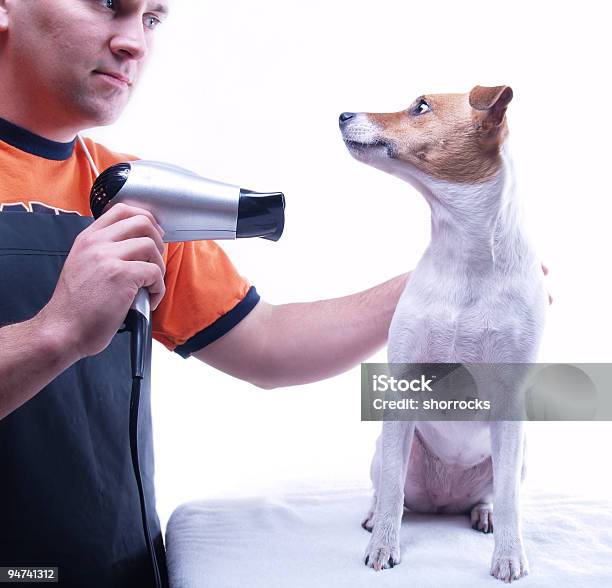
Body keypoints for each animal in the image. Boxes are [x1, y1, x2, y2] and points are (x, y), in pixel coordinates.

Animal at [342, 86, 548, 584]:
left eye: (421, 106)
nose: (342, 114)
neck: (465, 253)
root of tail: (444, 501)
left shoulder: (510, 402)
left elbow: (511, 500)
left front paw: (509, 556)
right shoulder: (403, 384)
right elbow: (392, 491)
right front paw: (383, 547)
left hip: (518, 454)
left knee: (494, 493)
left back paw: (484, 513)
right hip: (388, 450)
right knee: (391, 487)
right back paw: (377, 516)